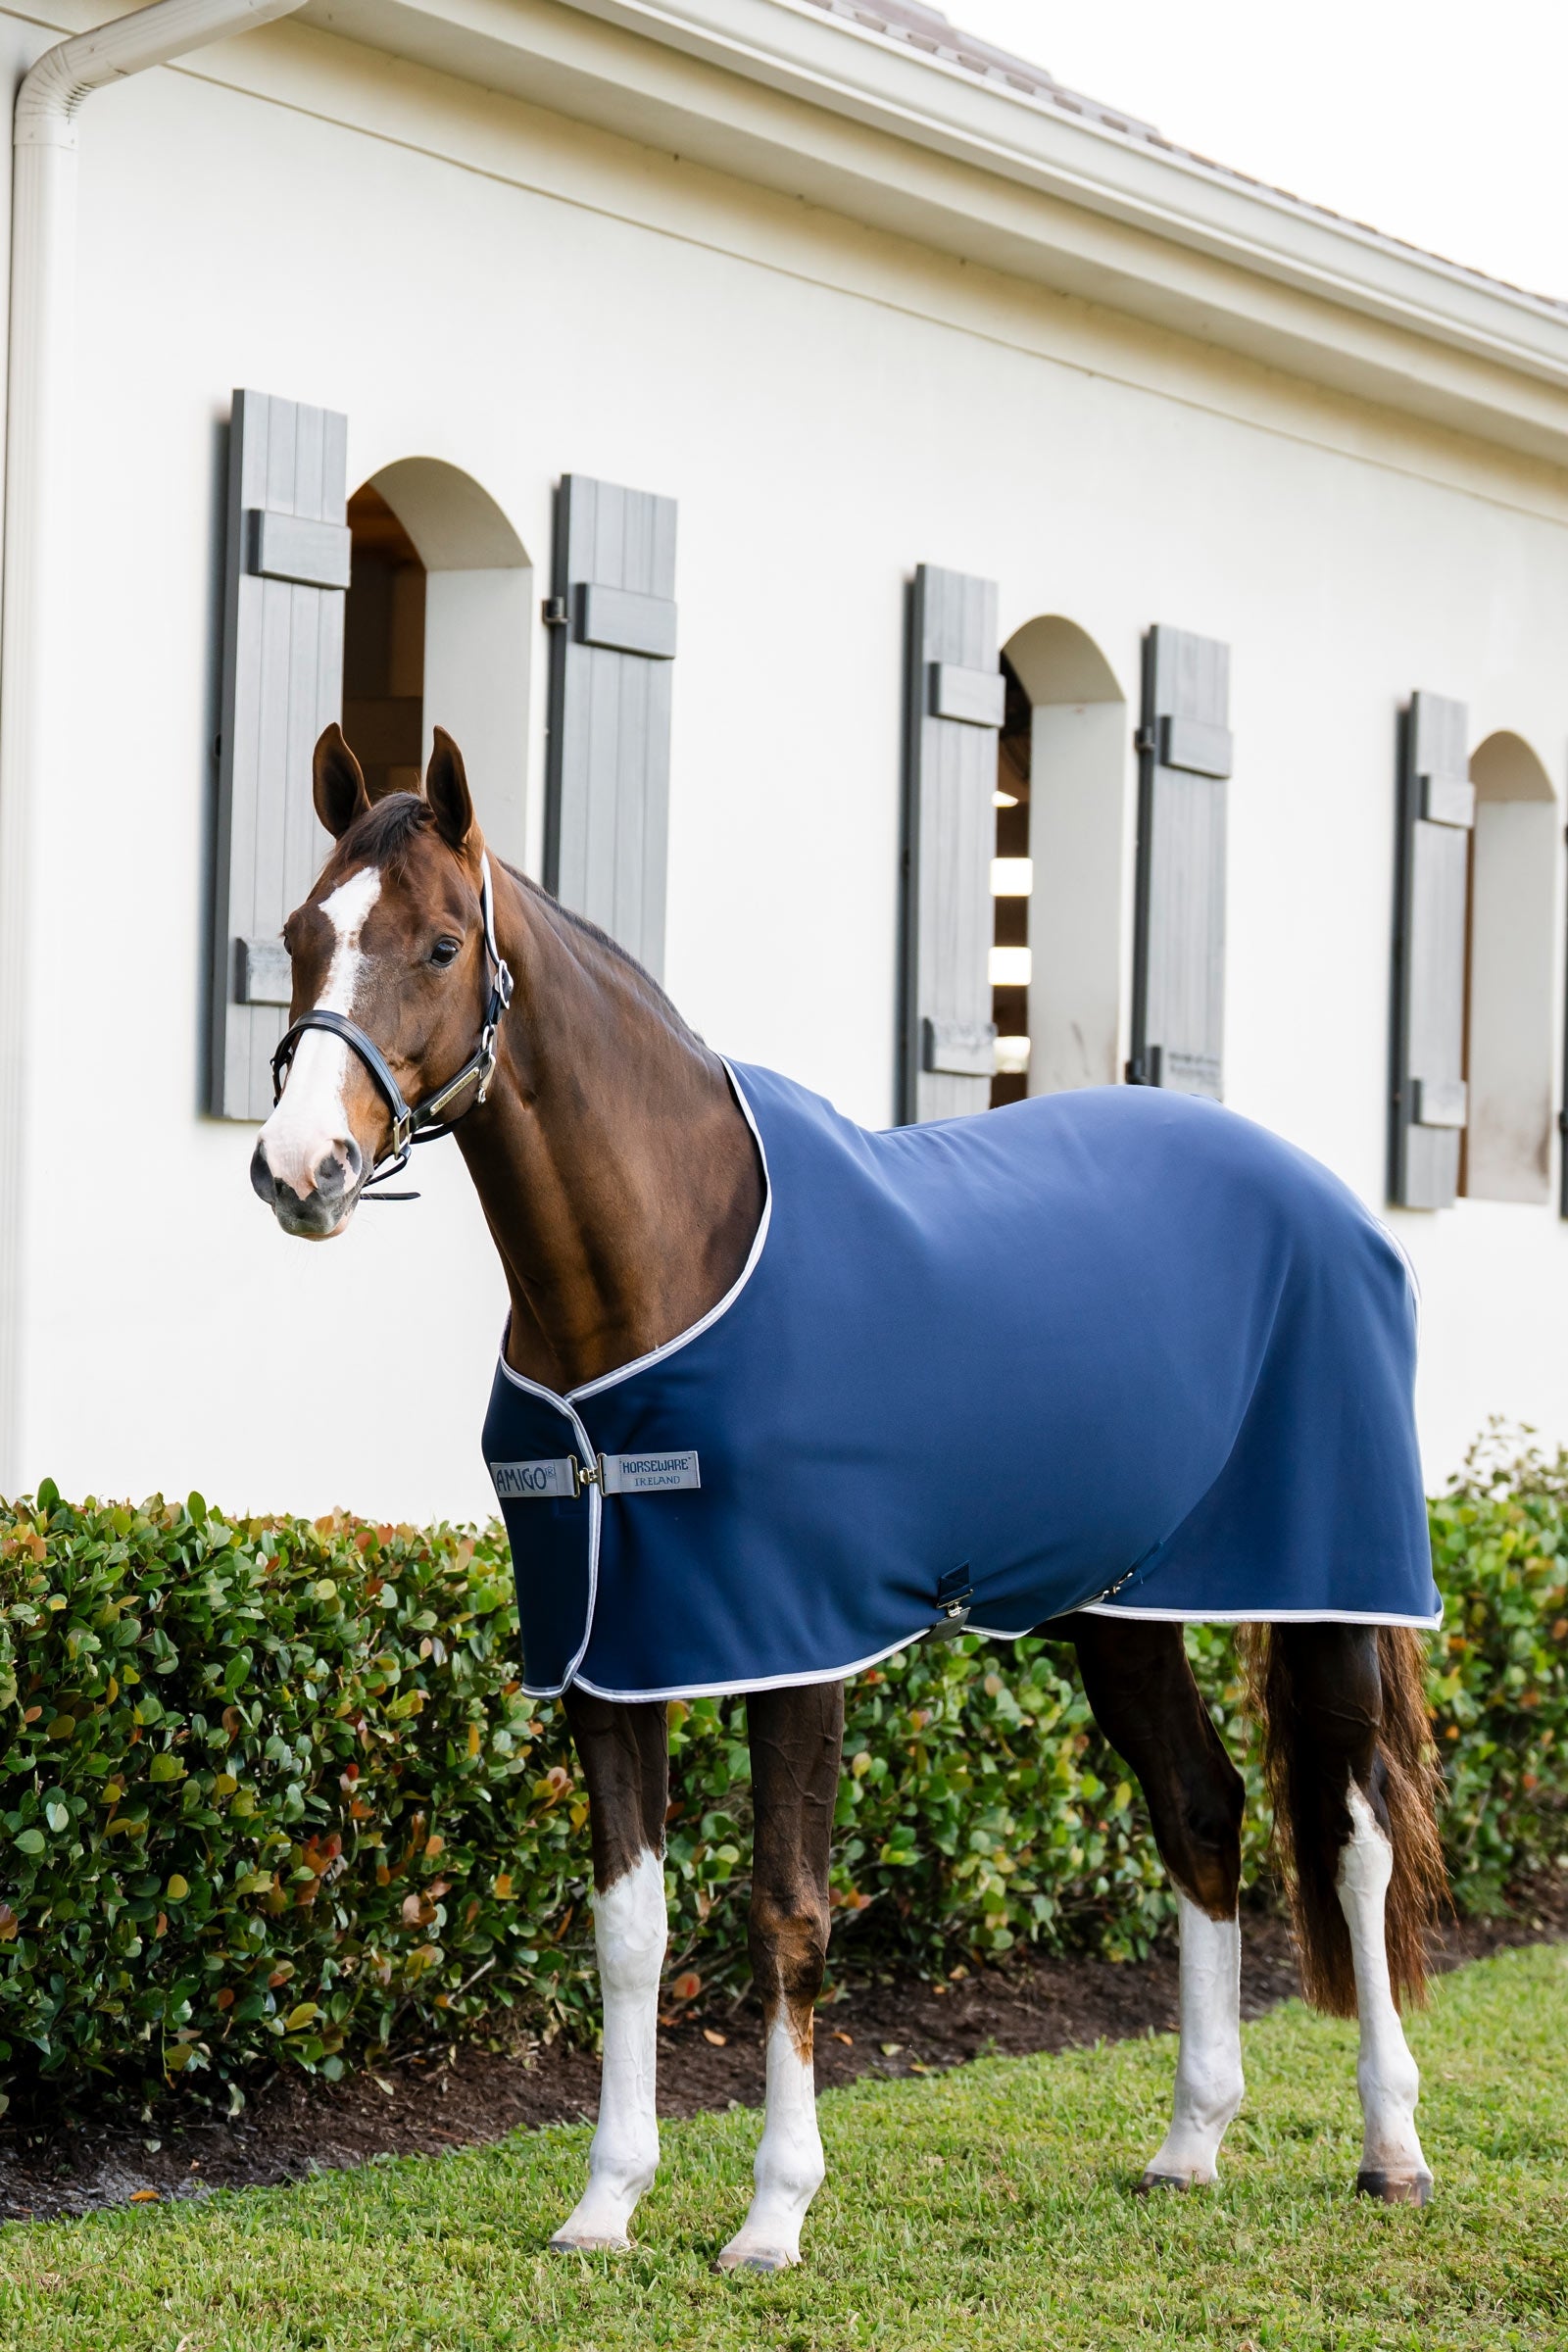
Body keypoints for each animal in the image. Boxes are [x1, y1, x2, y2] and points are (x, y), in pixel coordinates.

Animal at [250, 722, 1447, 2270]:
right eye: (299, 934)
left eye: (444, 944)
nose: (301, 1170)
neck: (663, 1265)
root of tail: (1331, 1199)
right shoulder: (608, 1656)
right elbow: (628, 1931)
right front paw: (605, 2204)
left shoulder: (794, 1647)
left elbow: (789, 1916)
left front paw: (772, 2214)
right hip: (1122, 1613)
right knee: (1202, 1809)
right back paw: (1190, 2143)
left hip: (1332, 1588)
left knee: (1357, 1840)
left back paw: (1391, 2147)